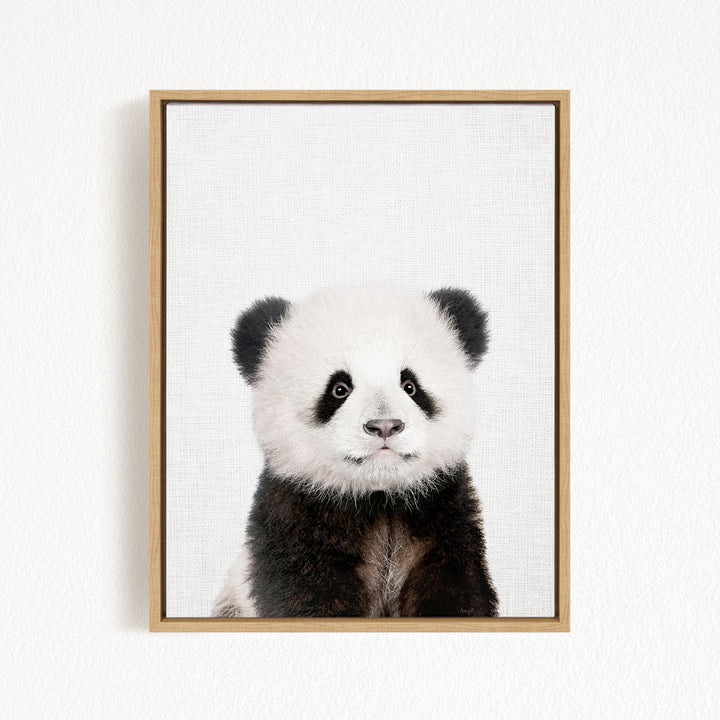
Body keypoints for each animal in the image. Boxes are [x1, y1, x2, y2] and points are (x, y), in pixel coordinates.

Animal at [213, 285, 498, 617]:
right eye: (339, 389)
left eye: (410, 386)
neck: (379, 498)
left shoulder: (442, 510)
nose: (384, 426)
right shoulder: (295, 514)